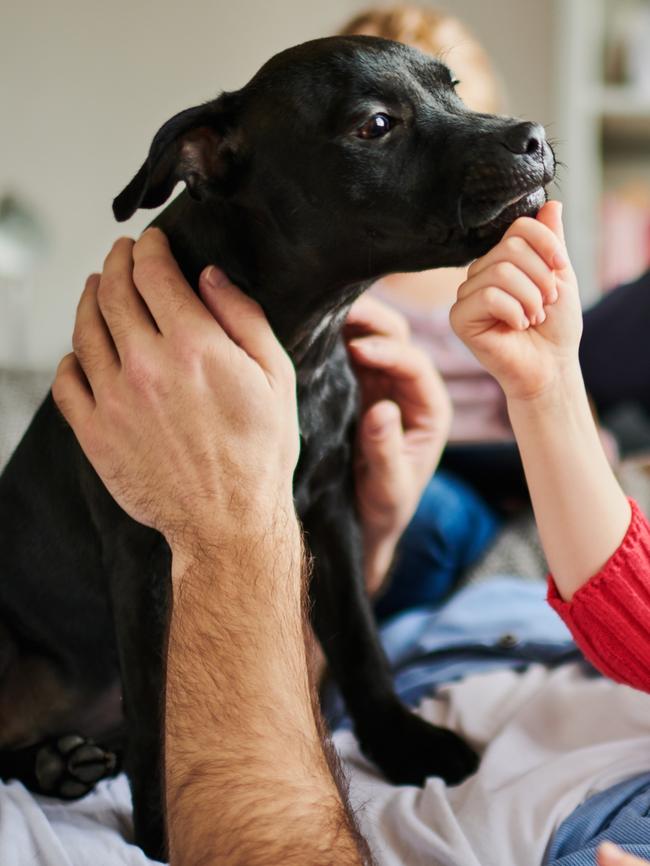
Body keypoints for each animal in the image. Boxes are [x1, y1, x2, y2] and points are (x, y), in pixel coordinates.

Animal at [0, 35, 552, 856]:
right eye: (376, 126)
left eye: (452, 87)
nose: (534, 137)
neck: (302, 346)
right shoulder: (143, 560)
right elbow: (154, 709)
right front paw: (162, 833)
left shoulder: (330, 513)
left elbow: (359, 642)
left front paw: (400, 741)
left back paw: (59, 762)